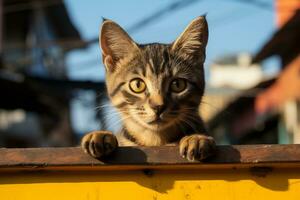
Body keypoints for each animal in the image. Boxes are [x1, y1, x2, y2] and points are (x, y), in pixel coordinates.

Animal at [82, 16, 217, 162]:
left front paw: (196, 138)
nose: (158, 107)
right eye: (137, 85)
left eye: (177, 84)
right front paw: (100, 135)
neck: (155, 141)